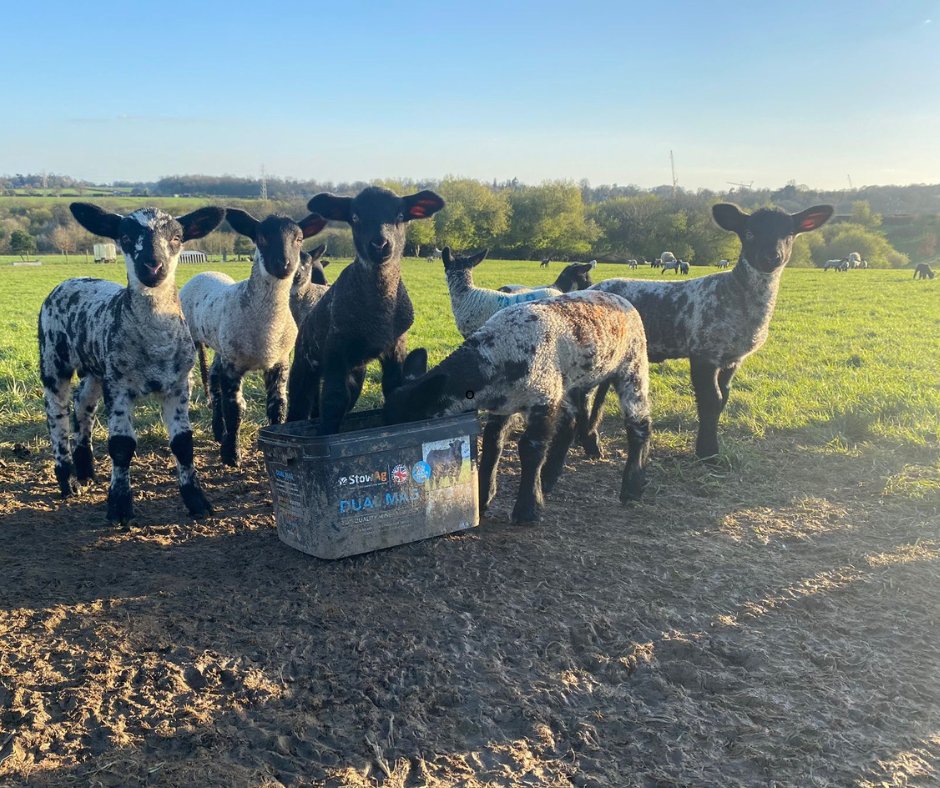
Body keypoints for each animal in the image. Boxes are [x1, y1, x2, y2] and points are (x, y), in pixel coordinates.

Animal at [38, 202, 226, 523]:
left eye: (177, 237)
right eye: (124, 237)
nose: (153, 266)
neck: (154, 342)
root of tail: (70, 279)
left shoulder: (179, 385)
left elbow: (183, 443)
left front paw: (197, 502)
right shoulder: (120, 387)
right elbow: (122, 447)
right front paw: (120, 507)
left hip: (97, 369)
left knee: (82, 404)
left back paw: (86, 470)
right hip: (54, 358)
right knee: (57, 413)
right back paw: (68, 479)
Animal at [180, 209, 327, 466]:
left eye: (299, 239)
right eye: (261, 238)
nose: (285, 265)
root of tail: (205, 272)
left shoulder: (280, 362)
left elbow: (278, 406)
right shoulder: (233, 365)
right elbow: (234, 409)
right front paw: (231, 454)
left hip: (221, 347)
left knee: (214, 376)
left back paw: (218, 432)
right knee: (214, 388)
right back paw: (219, 431)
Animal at [286, 186, 445, 434]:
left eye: (401, 216)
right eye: (354, 217)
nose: (379, 244)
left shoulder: (396, 347)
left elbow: (391, 386)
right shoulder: (336, 350)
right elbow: (333, 400)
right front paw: (326, 434)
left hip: (355, 371)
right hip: (305, 365)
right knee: (300, 404)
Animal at [384, 290, 651, 524]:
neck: (496, 353)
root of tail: (620, 299)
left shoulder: (544, 397)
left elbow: (530, 448)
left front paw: (527, 509)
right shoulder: (504, 405)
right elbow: (492, 443)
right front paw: (483, 498)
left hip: (633, 363)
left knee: (639, 425)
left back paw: (632, 488)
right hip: (568, 383)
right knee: (571, 422)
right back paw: (549, 478)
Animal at [589, 202, 833, 459]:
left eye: (789, 234)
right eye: (749, 233)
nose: (770, 257)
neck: (736, 294)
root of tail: (593, 286)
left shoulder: (732, 359)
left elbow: (724, 397)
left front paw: (708, 447)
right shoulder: (703, 352)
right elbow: (711, 400)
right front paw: (707, 451)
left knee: (600, 393)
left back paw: (591, 442)